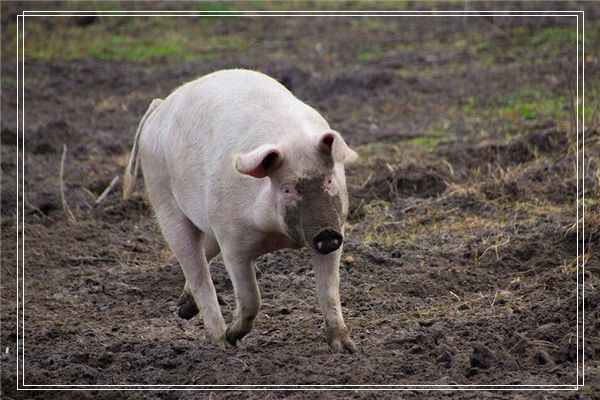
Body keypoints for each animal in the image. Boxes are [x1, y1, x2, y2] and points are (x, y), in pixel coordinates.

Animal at [122, 69, 356, 354]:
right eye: (287, 189)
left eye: (329, 180)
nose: (326, 234)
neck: (276, 234)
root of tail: (160, 106)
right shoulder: (233, 242)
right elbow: (251, 297)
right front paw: (234, 337)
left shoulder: (336, 227)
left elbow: (329, 291)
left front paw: (346, 349)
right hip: (164, 200)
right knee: (197, 272)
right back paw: (221, 342)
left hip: (208, 221)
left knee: (204, 254)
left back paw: (184, 309)